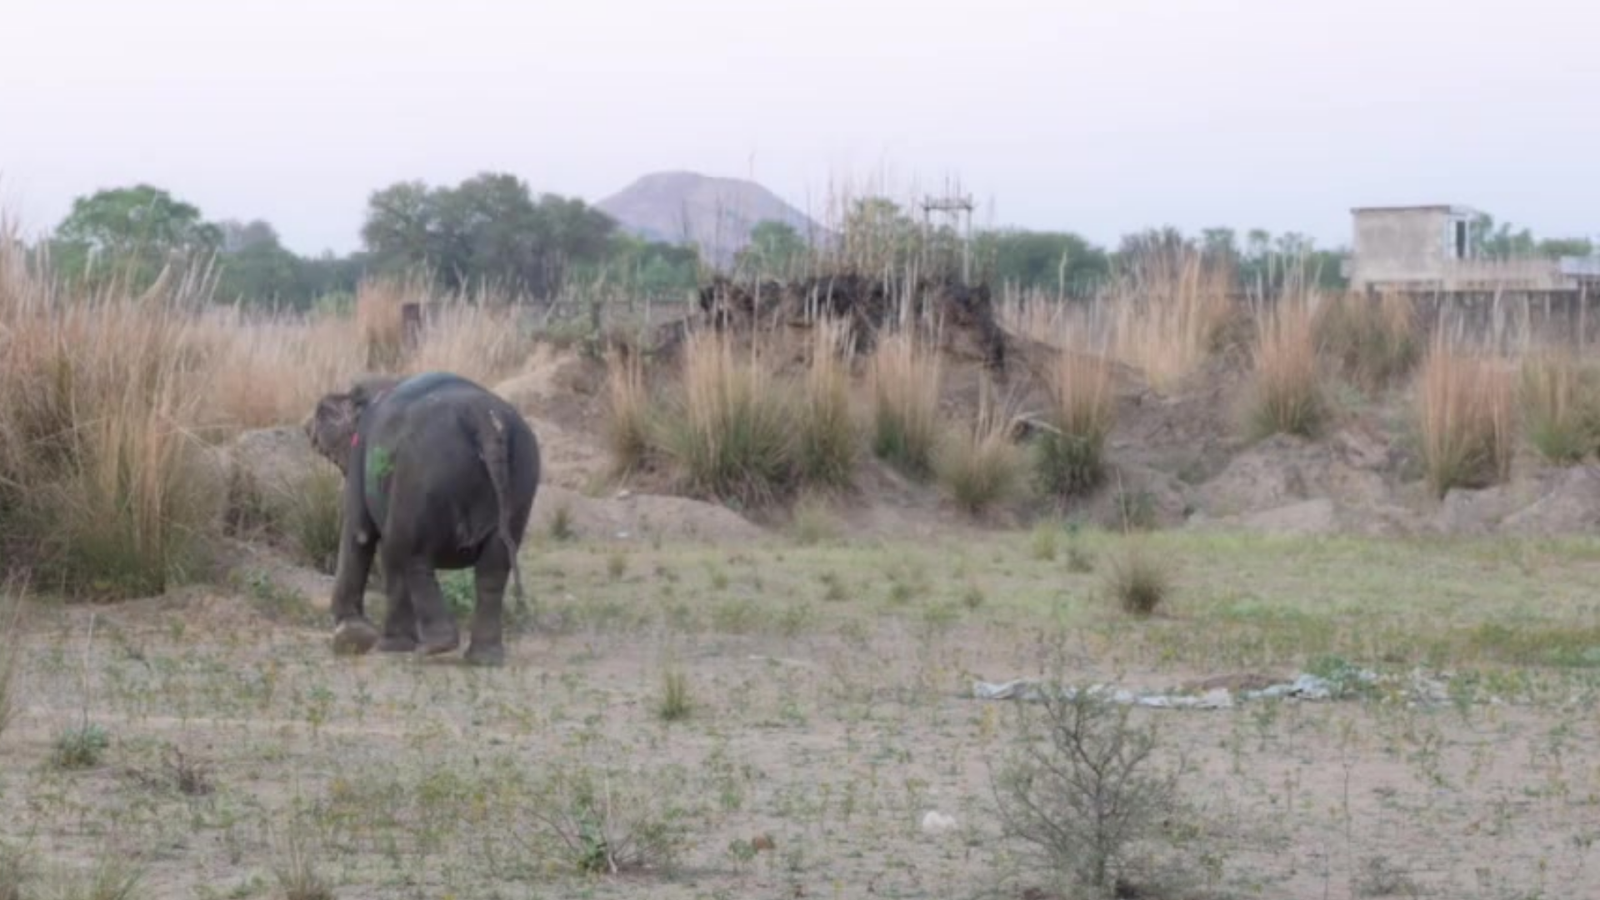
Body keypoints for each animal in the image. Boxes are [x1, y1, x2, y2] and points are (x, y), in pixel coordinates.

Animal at [303, 370, 541, 666]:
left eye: (323, 411)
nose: (306, 426)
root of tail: (484, 418)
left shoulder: (361, 455)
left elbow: (359, 533)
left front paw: (354, 637)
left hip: (421, 474)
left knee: (405, 550)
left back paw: (431, 647)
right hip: (521, 480)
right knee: (493, 568)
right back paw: (484, 657)